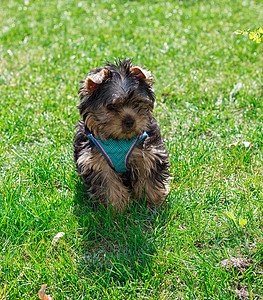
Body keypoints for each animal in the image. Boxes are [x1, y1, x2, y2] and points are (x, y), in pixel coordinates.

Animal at [73, 58, 170, 212]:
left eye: (137, 102)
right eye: (111, 106)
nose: (130, 121)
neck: (119, 139)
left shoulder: (148, 154)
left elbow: (149, 178)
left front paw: (154, 203)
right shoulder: (97, 163)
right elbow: (109, 186)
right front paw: (117, 210)